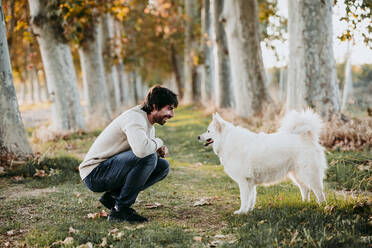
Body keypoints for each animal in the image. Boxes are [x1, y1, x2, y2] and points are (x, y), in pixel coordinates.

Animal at [198, 109, 326, 214]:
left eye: (208, 131)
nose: (198, 137)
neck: (226, 140)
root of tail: (306, 137)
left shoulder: (243, 181)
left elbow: (245, 198)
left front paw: (242, 212)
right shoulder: (250, 181)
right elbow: (251, 198)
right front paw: (248, 211)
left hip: (308, 174)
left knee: (318, 191)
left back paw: (323, 207)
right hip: (297, 175)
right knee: (305, 189)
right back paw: (305, 204)